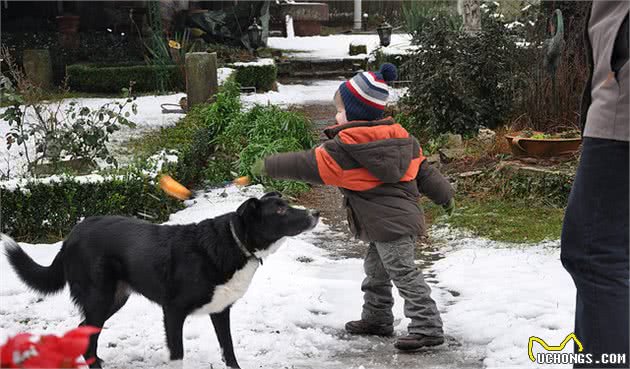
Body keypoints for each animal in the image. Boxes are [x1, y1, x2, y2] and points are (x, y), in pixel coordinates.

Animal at [2, 191, 320, 366]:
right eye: (280, 209)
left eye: (286, 202)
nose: (315, 212)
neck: (234, 241)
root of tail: (72, 235)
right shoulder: (173, 312)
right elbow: (178, 354)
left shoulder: (220, 311)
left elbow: (228, 350)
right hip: (99, 296)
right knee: (87, 331)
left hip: (114, 298)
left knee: (85, 329)